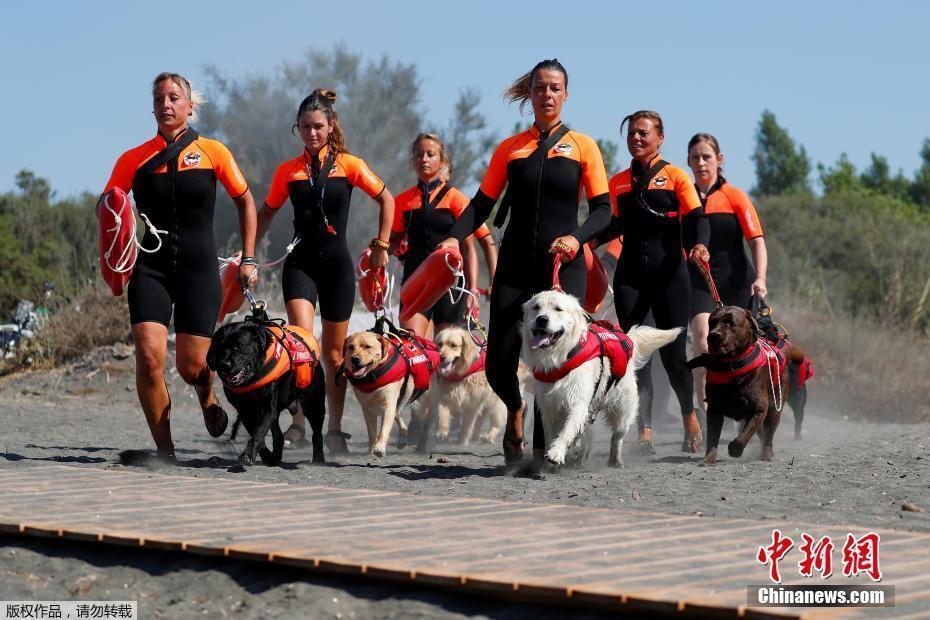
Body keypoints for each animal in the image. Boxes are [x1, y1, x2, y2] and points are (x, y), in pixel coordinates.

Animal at [208, 320, 326, 464]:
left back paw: (318, 459)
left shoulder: (268, 408)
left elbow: (259, 431)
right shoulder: (245, 411)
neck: (251, 380)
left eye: (239, 346)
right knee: (279, 435)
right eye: (219, 348)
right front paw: (265, 455)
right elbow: (257, 432)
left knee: (317, 433)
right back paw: (275, 458)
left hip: (314, 405)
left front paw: (249, 454)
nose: (225, 365)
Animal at [520, 290, 676, 464]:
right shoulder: (548, 407)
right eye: (536, 307)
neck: (561, 358)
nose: (542, 319)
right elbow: (553, 433)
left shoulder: (578, 402)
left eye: (558, 309)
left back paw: (615, 460)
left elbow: (566, 430)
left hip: (623, 410)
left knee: (617, 436)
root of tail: (627, 340)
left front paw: (556, 452)